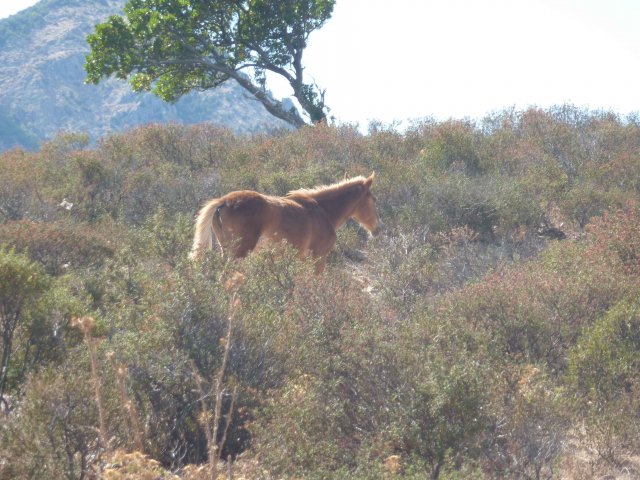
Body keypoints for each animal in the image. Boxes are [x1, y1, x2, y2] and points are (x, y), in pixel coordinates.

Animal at [188, 172, 382, 272]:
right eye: (374, 200)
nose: (378, 229)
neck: (323, 210)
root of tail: (223, 201)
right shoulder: (319, 256)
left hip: (226, 249)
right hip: (239, 252)